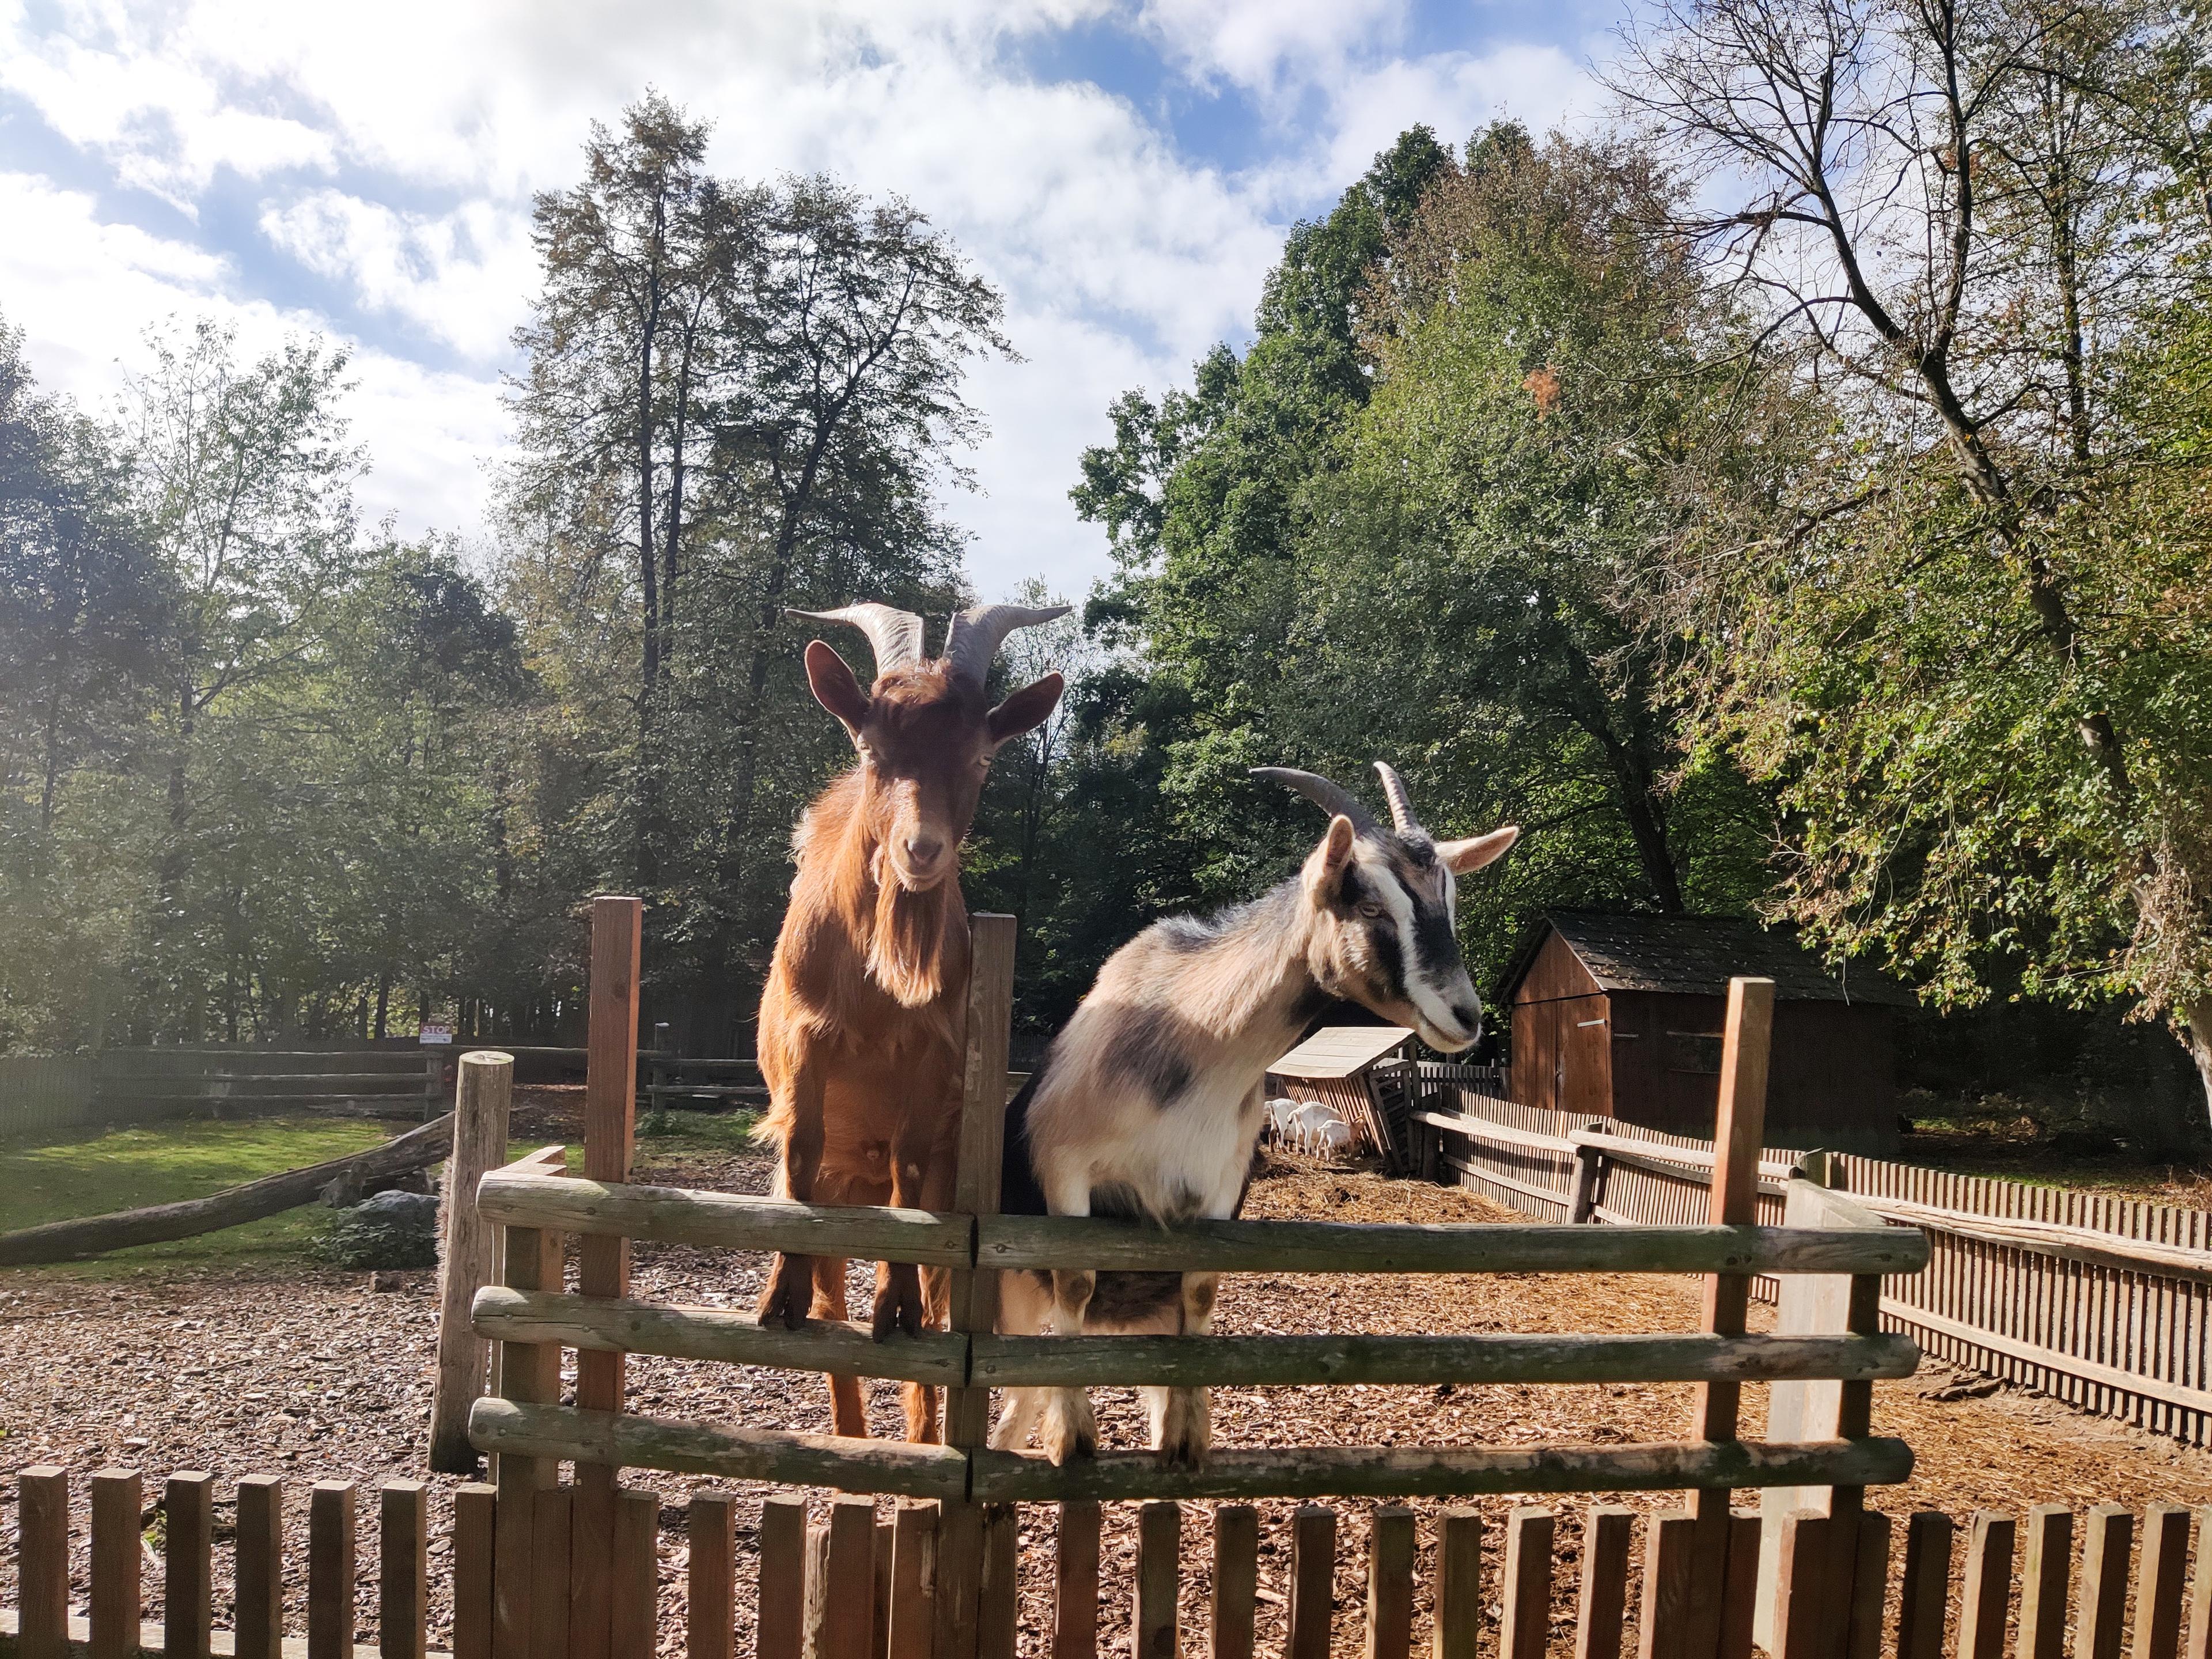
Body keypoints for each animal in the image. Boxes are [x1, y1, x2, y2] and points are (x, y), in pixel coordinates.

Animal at [756, 597, 1066, 1442]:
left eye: (982, 760)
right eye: (871, 752)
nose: (920, 850)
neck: (876, 978)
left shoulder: (933, 1062)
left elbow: (908, 1169)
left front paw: (892, 1308)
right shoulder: (805, 1043)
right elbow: (800, 1146)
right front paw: (777, 1296)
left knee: (938, 1298)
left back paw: (922, 1430)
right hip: (840, 1191)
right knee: (832, 1299)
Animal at [995, 765, 1513, 1468]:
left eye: (1450, 902)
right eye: (1369, 905)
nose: (1465, 1017)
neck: (1197, 1045)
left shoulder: (1215, 1191)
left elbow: (1202, 1290)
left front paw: (1185, 1435)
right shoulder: (1066, 1167)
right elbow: (1075, 1282)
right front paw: (1073, 1436)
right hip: (1014, 1295)